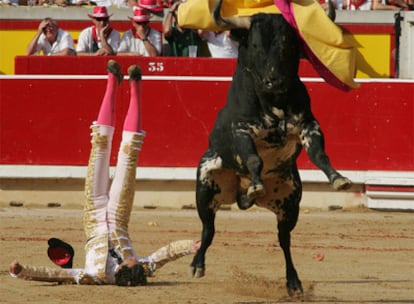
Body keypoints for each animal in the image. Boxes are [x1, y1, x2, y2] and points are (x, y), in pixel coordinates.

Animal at [188, 8, 352, 296]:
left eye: (286, 46)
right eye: (255, 46)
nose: (273, 81)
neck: (274, 102)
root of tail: (239, 194)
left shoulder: (309, 125)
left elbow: (320, 155)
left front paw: (338, 179)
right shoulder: (242, 131)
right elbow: (254, 159)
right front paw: (256, 183)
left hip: (289, 203)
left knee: (284, 239)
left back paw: (294, 282)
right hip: (205, 188)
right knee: (208, 228)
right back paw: (198, 265)